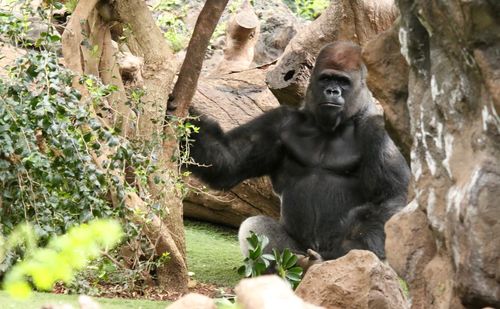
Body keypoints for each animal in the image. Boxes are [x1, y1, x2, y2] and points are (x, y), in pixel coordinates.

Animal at [187, 40, 410, 262]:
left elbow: (392, 197)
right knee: (256, 227)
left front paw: (346, 249)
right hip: (296, 252)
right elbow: (229, 160)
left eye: (343, 82)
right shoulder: (279, 121)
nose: (332, 91)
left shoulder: (378, 130)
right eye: (326, 79)